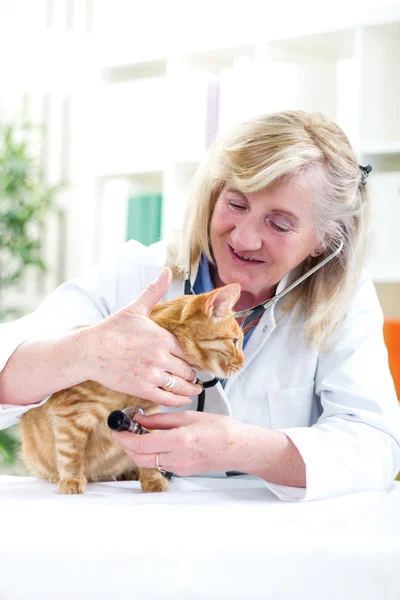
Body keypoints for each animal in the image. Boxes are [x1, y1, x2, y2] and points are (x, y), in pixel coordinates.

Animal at [19, 284, 244, 494]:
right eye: (234, 341)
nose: (241, 364)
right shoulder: (70, 413)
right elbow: (71, 451)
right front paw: (71, 480)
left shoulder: (149, 413)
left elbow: (150, 451)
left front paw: (152, 479)